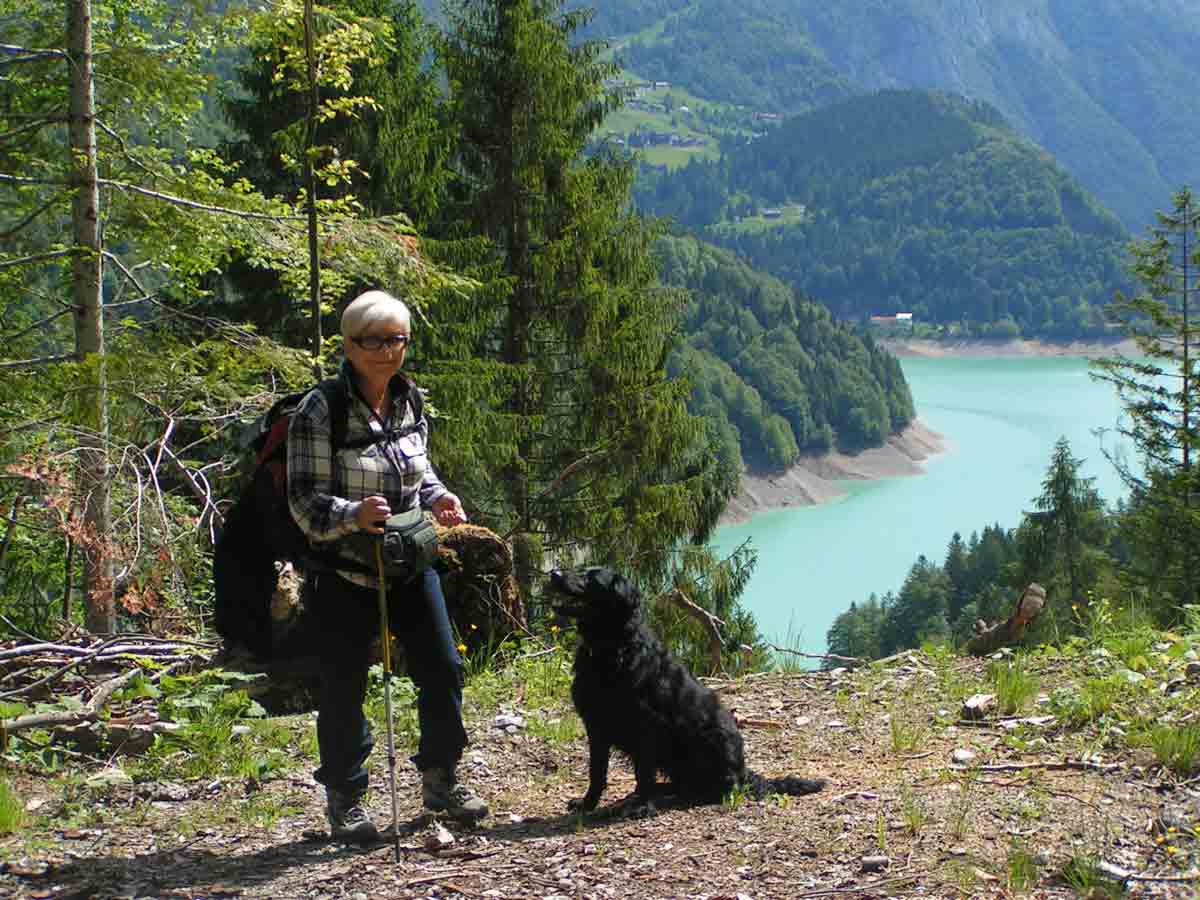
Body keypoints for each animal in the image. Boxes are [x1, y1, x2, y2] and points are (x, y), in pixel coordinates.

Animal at [549, 566, 825, 816]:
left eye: (592, 579)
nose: (553, 573)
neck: (612, 648)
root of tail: (743, 772)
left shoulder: (645, 727)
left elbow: (643, 773)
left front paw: (643, 807)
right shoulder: (595, 727)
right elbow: (596, 773)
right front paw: (587, 804)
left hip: (710, 742)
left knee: (718, 788)